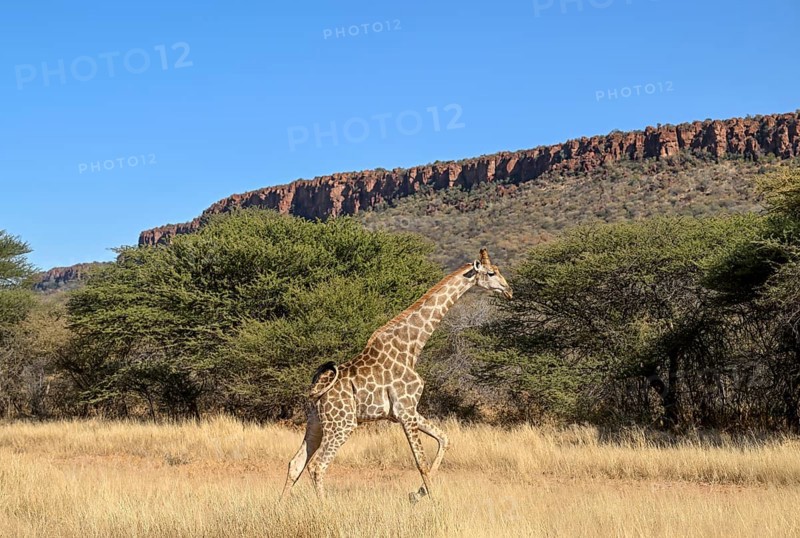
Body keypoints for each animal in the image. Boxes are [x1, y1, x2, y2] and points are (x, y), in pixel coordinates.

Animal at [280, 248, 512, 502]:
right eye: (491, 273)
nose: (509, 291)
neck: (411, 347)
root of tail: (316, 390)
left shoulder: (409, 410)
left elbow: (444, 439)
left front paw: (417, 494)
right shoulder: (406, 410)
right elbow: (420, 462)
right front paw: (432, 501)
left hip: (316, 423)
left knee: (296, 463)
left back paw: (280, 507)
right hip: (342, 423)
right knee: (317, 466)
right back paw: (325, 508)